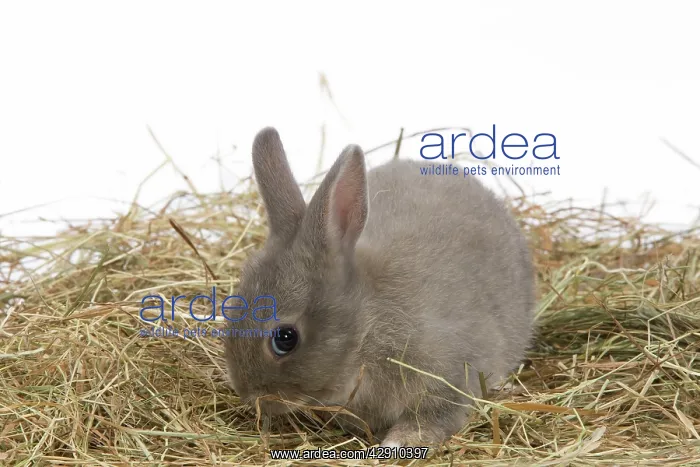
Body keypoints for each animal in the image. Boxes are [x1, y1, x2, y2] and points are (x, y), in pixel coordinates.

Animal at [223, 126, 536, 448]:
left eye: (285, 338)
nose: (252, 397)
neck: (367, 326)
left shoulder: (449, 373)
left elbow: (434, 415)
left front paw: (400, 443)